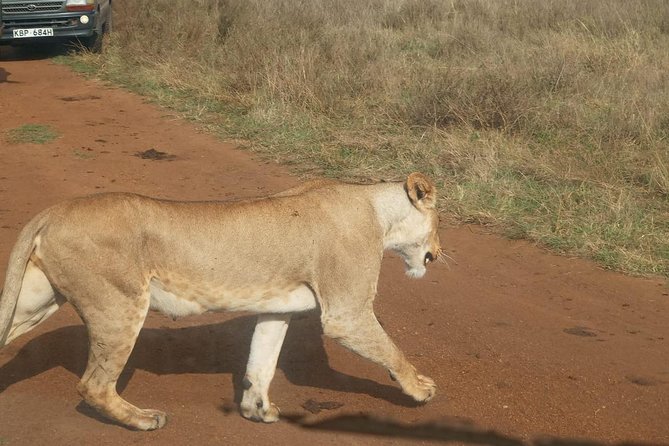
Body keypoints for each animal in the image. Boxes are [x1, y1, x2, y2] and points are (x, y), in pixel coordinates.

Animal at [0, 172, 442, 430]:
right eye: (438, 222)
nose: (438, 253)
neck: (377, 212)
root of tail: (53, 211)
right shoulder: (345, 314)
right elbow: (391, 350)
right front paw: (420, 389)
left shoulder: (276, 309)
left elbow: (261, 361)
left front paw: (257, 410)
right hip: (120, 304)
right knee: (92, 385)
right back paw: (144, 419)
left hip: (35, 301)